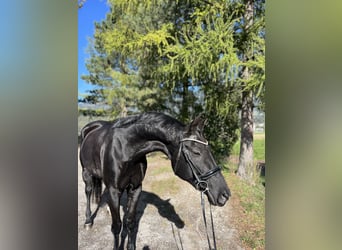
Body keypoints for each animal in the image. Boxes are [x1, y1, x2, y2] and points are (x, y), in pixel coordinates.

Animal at [79, 112, 231, 249]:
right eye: (196, 152)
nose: (225, 194)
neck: (126, 149)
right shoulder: (114, 189)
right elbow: (116, 226)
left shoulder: (135, 188)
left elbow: (130, 222)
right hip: (86, 173)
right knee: (88, 192)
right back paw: (88, 221)